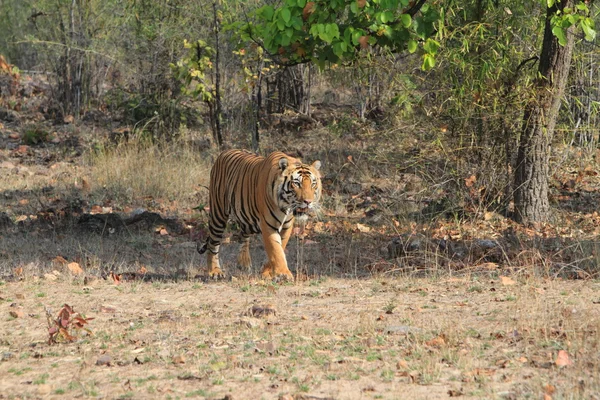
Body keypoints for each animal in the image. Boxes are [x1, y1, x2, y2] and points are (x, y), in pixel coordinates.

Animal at [197, 150, 322, 282]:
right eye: (296, 183)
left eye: (313, 183)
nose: (308, 202)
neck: (286, 206)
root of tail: (224, 153)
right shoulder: (268, 225)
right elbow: (275, 250)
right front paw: (283, 273)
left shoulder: (287, 227)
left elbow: (280, 247)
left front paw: (267, 273)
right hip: (218, 214)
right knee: (213, 244)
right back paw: (215, 272)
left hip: (248, 219)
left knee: (243, 235)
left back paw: (244, 263)